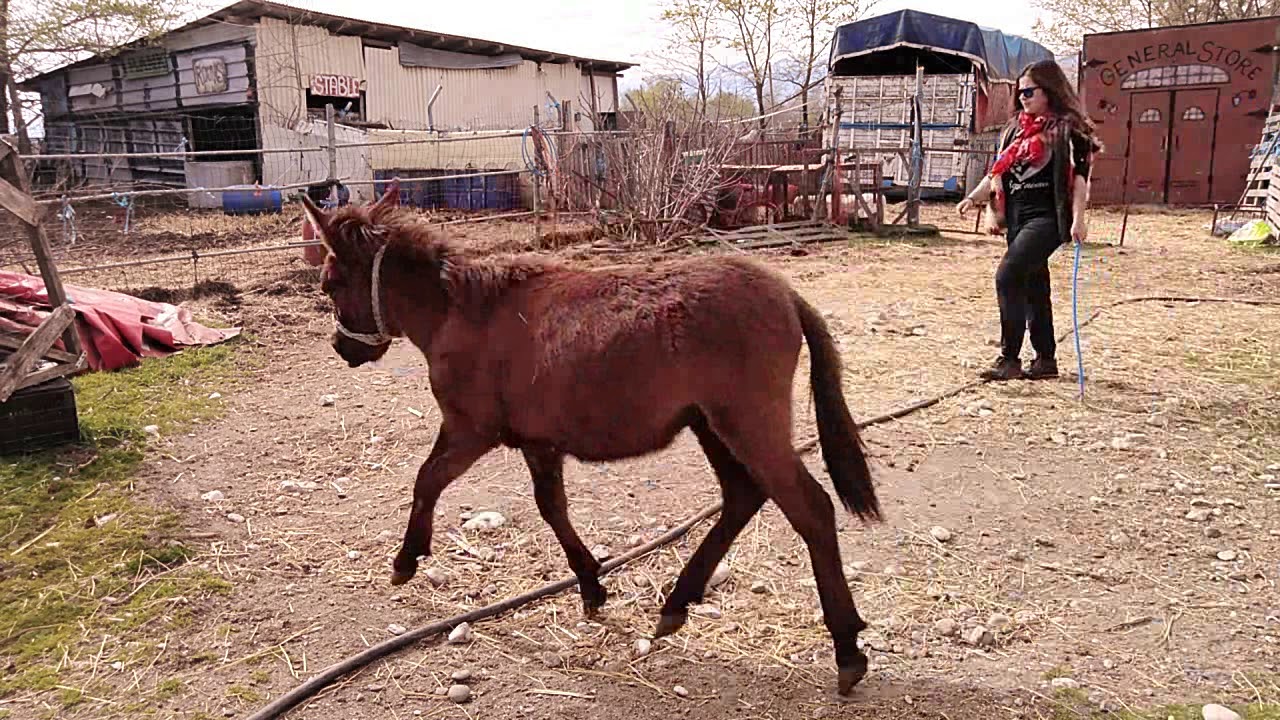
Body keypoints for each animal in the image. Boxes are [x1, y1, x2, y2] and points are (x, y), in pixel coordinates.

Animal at [299, 187, 885, 696]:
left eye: (330, 284)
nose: (343, 349)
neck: (463, 311)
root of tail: (785, 293)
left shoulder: (471, 431)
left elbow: (427, 480)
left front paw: (407, 559)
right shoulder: (537, 443)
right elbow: (552, 508)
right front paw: (591, 585)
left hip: (748, 425)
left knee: (810, 508)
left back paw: (846, 648)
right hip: (712, 426)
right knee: (742, 497)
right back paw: (677, 602)